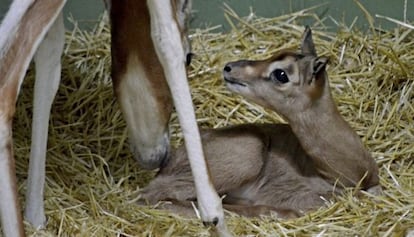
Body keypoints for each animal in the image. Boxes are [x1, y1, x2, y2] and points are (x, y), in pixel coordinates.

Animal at [141, 26, 380, 218]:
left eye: (281, 74)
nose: (229, 67)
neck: (350, 170)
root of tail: (169, 162)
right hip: (248, 151)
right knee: (155, 196)